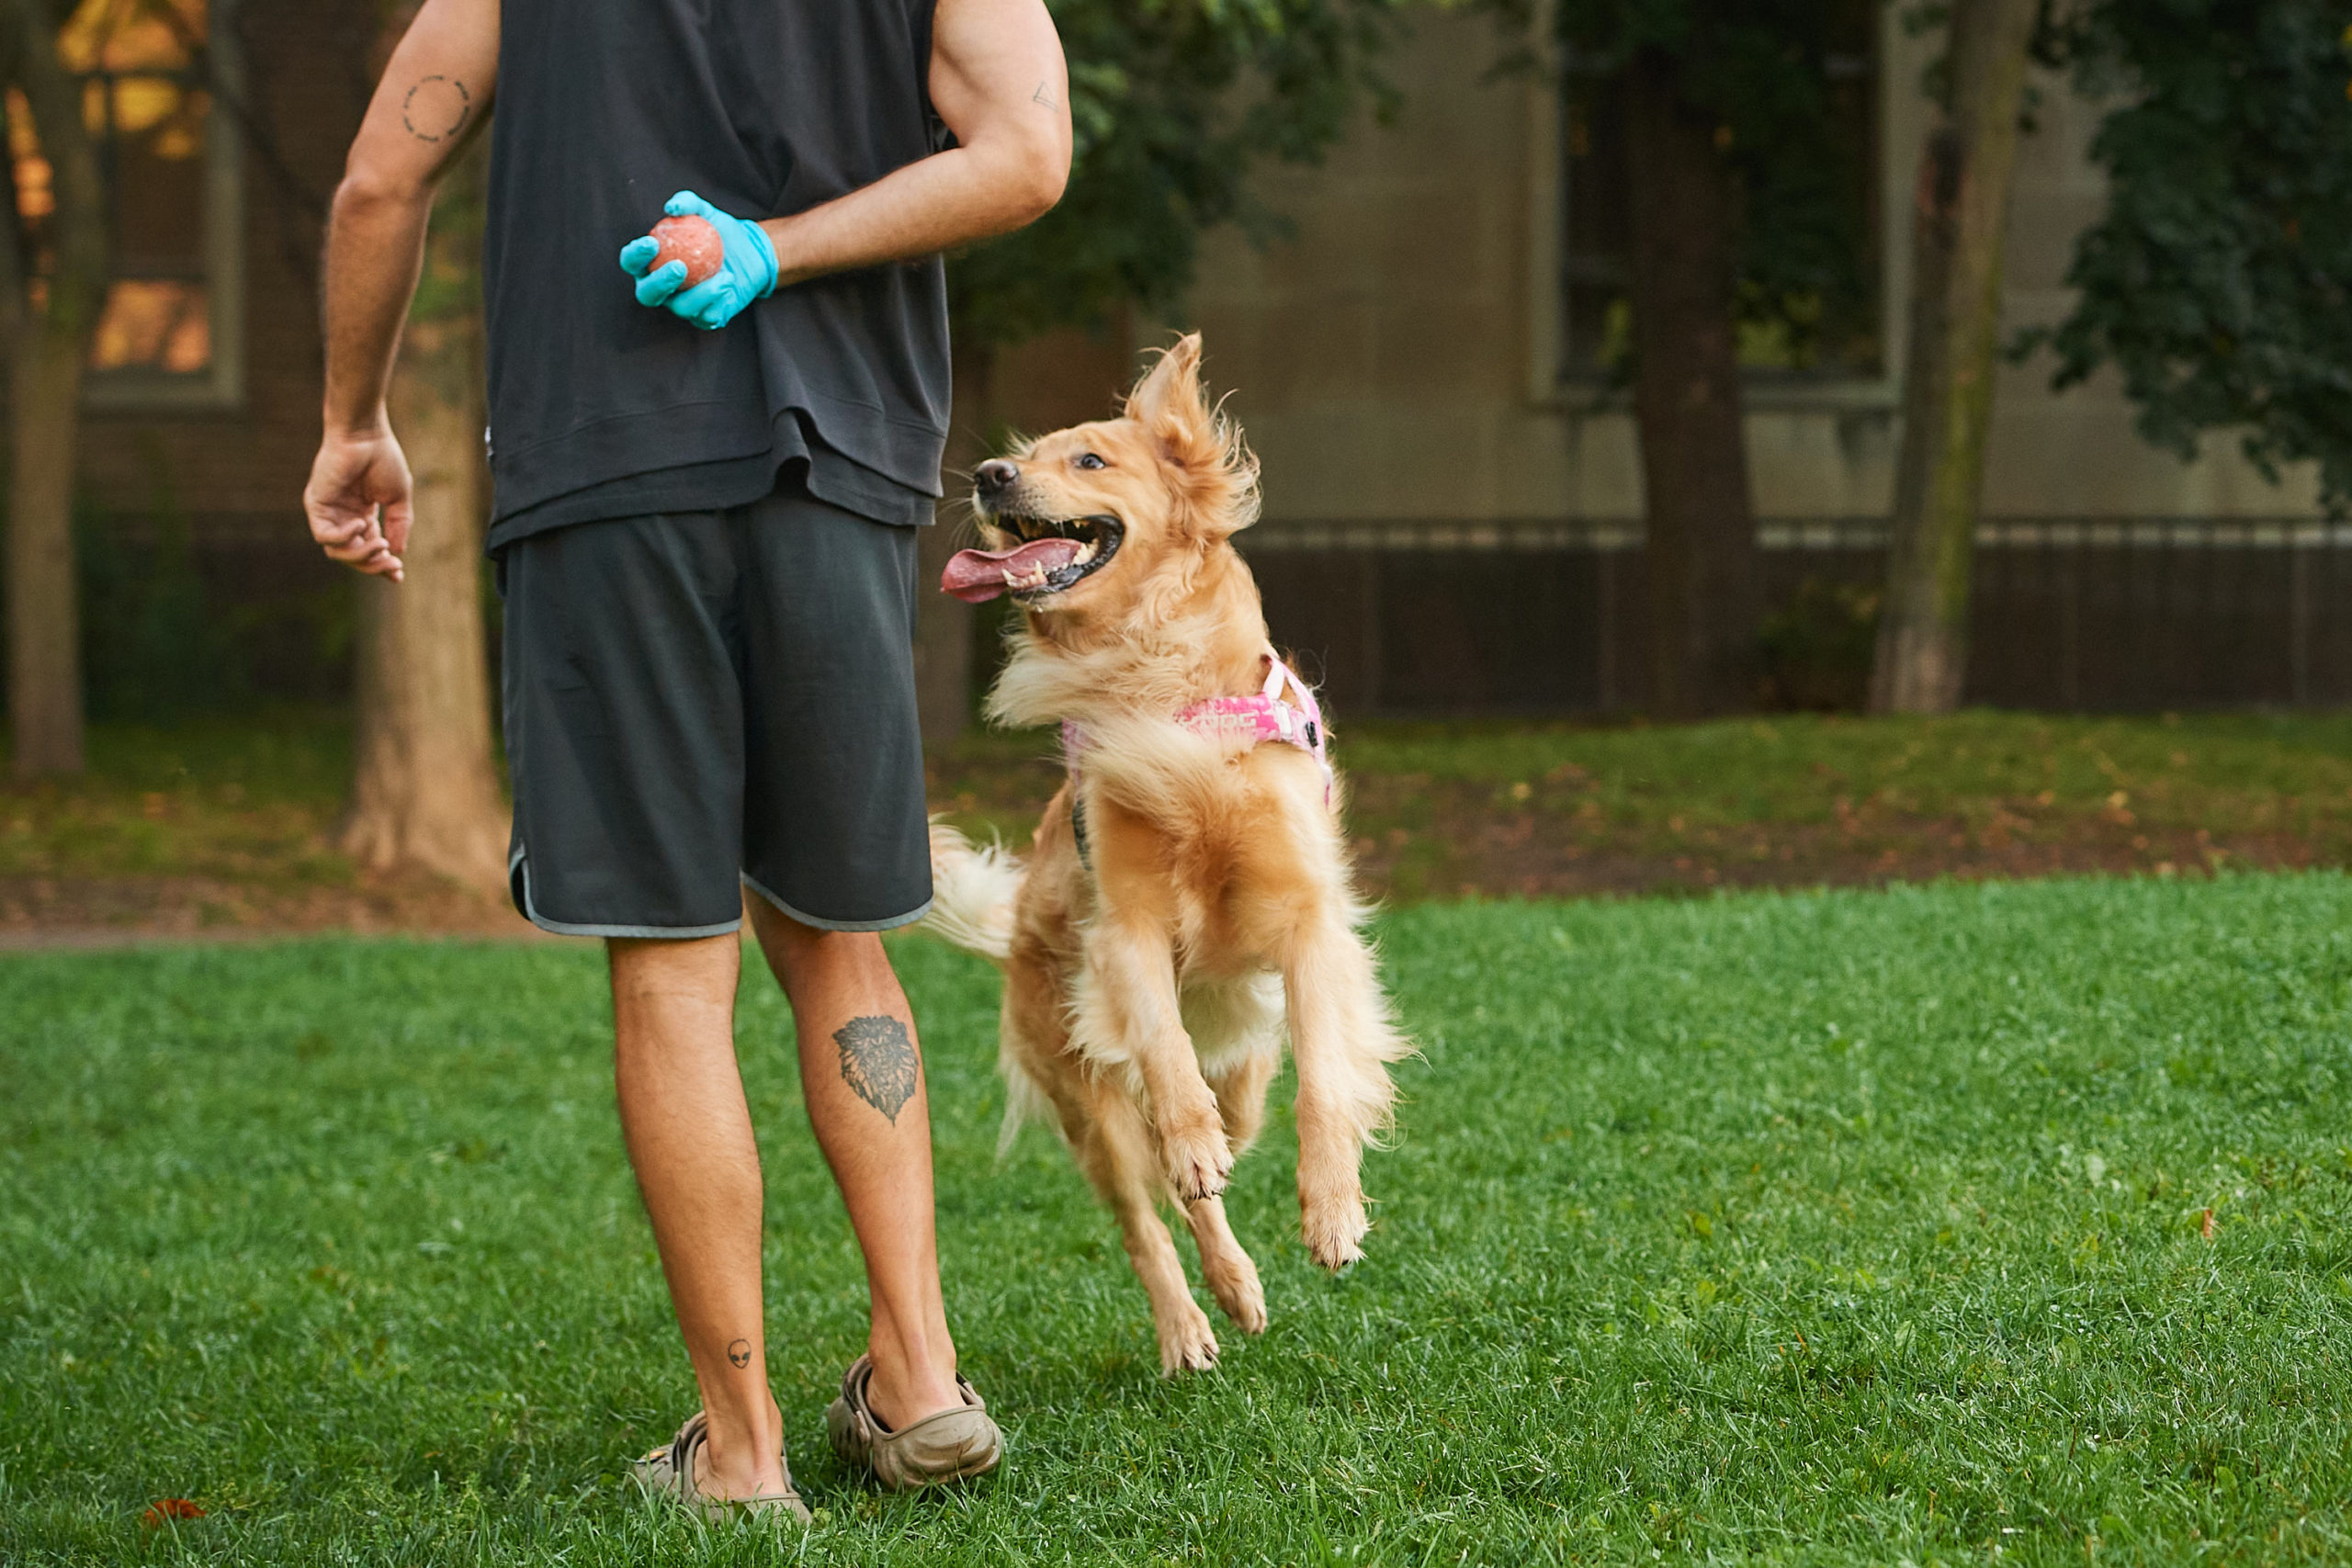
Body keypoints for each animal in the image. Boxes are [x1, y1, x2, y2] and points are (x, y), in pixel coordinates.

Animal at [917, 333, 1401, 1372]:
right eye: (1024, 453)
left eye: (1090, 459)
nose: (987, 474)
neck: (1162, 688)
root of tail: (1011, 932)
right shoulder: (1123, 924)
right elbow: (1166, 1057)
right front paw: (1192, 1148)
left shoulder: (1308, 921)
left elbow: (1325, 1080)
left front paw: (1334, 1212)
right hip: (1084, 1093)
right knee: (1153, 1210)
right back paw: (1193, 1319)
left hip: (1245, 1063)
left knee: (1231, 1140)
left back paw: (1239, 1281)